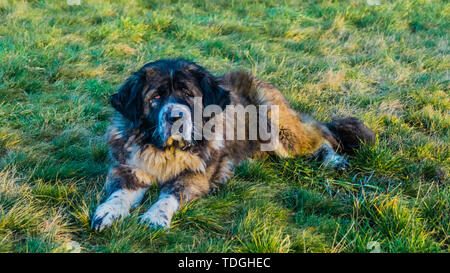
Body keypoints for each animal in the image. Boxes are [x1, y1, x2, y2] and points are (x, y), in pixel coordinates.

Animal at [89, 58, 374, 231]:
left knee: (321, 136)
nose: (176, 117)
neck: (165, 151)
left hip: (276, 128)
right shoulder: (128, 169)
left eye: (188, 95)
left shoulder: (195, 177)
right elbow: (119, 193)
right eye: (156, 97)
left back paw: (333, 159)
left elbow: (168, 196)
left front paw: (154, 216)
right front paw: (107, 212)